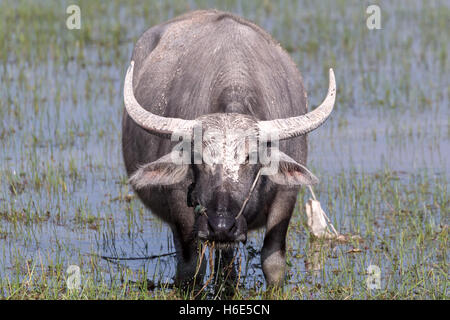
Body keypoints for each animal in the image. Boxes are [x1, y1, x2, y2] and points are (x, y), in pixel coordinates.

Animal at [121, 10, 336, 288]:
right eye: (198, 157)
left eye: (251, 156)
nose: (221, 225)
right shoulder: (180, 205)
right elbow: (191, 266)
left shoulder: (286, 196)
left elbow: (273, 261)